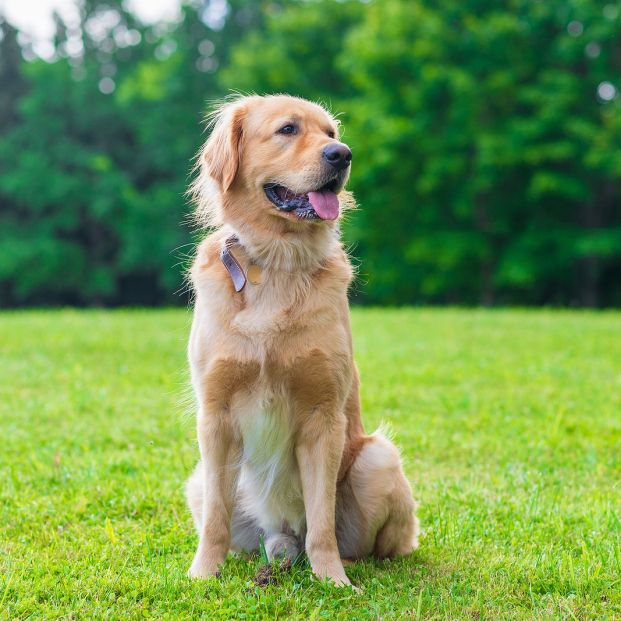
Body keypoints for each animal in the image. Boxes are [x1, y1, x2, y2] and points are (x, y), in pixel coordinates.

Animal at [184, 94, 416, 584]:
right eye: (288, 129)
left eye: (331, 133)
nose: (342, 155)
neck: (277, 261)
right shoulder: (215, 415)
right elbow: (215, 519)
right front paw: (202, 575)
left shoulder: (323, 415)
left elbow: (322, 521)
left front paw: (334, 580)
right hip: (197, 479)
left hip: (378, 459)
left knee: (374, 549)